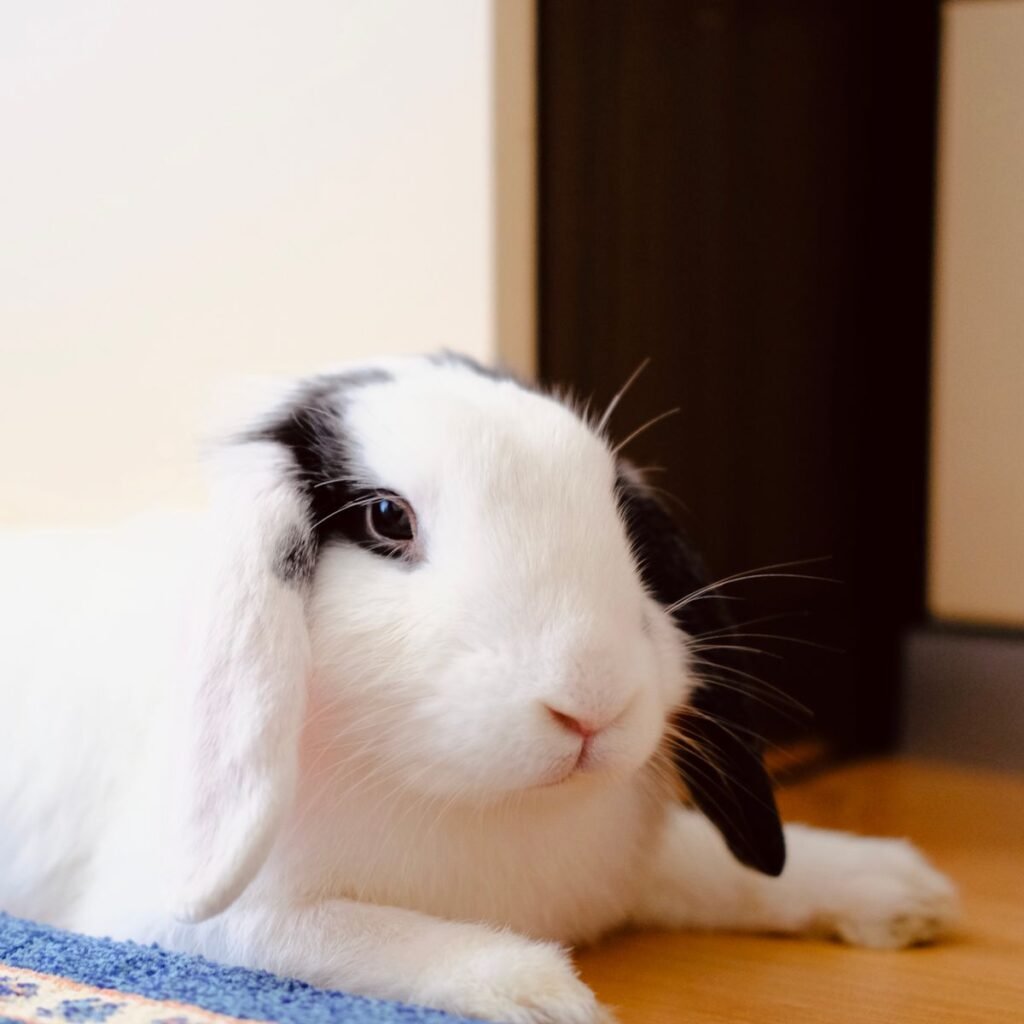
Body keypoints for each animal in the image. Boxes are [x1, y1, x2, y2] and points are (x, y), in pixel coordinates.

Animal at [0, 353, 958, 1024]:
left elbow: (708, 871)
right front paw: (536, 991)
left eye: (619, 513)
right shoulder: (189, 925)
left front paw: (899, 891)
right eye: (388, 518)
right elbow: (337, 935)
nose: (592, 703)